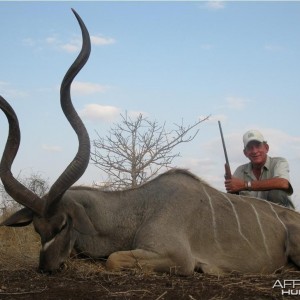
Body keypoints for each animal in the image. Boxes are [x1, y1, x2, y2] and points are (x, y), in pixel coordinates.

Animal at [0, 9, 300, 276]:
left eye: (62, 225)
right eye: (37, 229)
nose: (46, 268)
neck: (137, 208)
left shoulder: (177, 257)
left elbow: (113, 259)